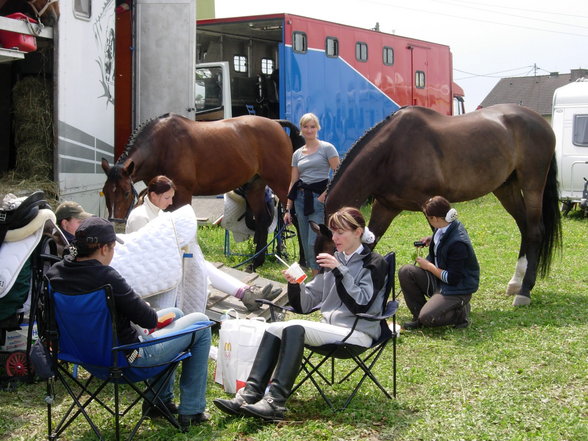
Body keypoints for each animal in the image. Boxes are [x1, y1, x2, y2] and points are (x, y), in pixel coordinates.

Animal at [101, 112, 296, 268]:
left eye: (126, 192)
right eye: (105, 193)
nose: (115, 224)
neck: (162, 145)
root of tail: (276, 125)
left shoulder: (183, 194)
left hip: (282, 183)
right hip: (255, 187)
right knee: (262, 220)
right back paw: (256, 263)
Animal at [326, 103, 560, 304]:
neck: (392, 151)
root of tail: (542, 122)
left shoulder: (429, 203)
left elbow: (438, 244)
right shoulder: (385, 207)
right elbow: (369, 243)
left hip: (532, 185)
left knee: (535, 231)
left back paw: (524, 291)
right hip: (506, 188)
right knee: (525, 228)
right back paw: (515, 283)